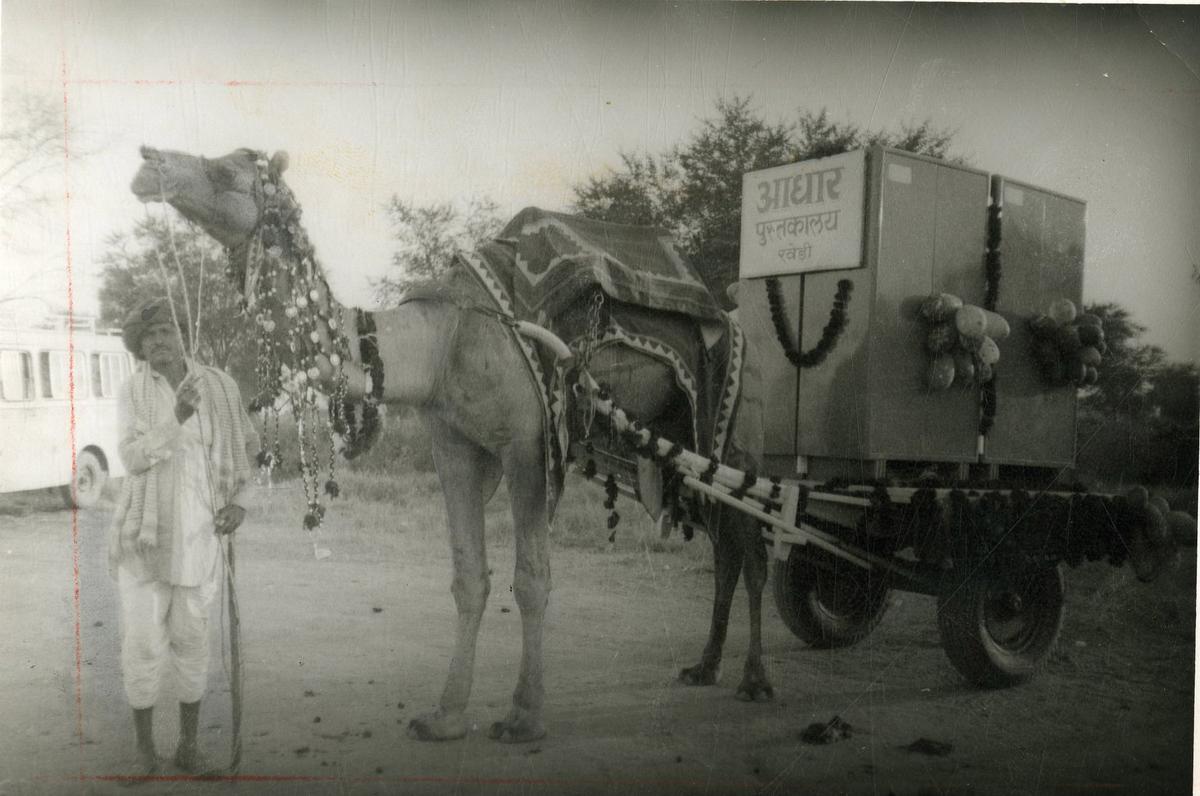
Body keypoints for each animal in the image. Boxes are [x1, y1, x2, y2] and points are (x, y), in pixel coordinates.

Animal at [129, 146, 768, 744]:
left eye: (224, 170)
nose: (147, 163)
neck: (438, 343)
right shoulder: (453, 446)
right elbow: (468, 580)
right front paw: (445, 715)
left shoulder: (526, 442)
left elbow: (531, 579)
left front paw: (523, 716)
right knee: (726, 544)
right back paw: (705, 667)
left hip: (736, 437)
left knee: (753, 541)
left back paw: (754, 679)